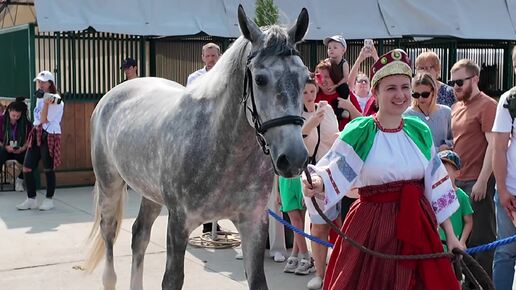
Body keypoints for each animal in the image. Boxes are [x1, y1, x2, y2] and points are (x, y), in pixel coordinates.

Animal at [86, 6, 308, 290]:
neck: (222, 147)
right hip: (109, 184)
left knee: (139, 235)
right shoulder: (178, 223)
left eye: (305, 78)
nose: (294, 159)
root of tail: (112, 95)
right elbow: (172, 280)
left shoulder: (253, 224)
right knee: (109, 232)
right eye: (260, 79)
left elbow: (258, 281)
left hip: (149, 194)